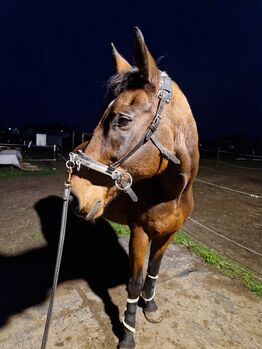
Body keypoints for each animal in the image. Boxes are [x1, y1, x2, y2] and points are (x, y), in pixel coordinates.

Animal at [68, 27, 200, 348]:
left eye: (123, 119)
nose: (78, 192)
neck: (172, 194)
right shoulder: (139, 233)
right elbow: (135, 281)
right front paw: (128, 333)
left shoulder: (168, 234)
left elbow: (153, 271)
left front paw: (150, 307)